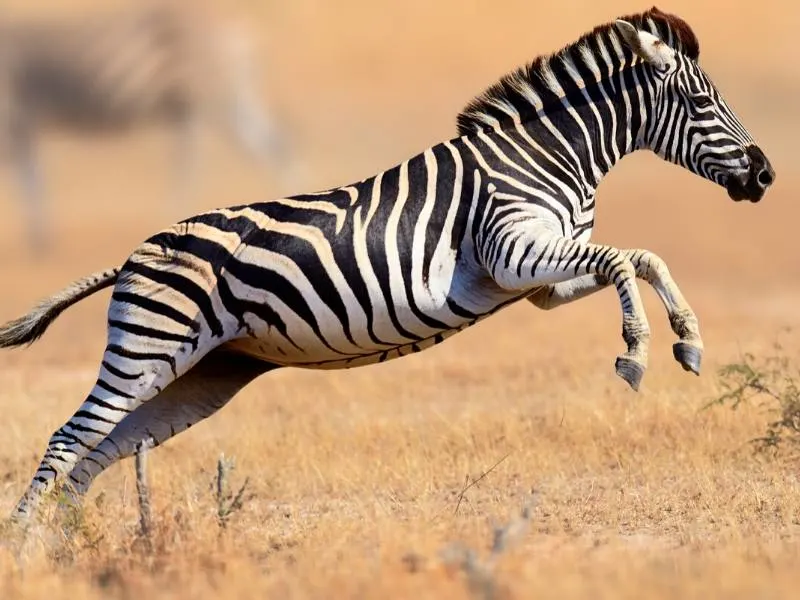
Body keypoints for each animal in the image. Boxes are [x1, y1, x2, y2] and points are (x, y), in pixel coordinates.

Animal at [0, 0, 296, 253]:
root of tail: (235, 29)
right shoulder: (21, 121)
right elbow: (33, 179)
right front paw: (41, 240)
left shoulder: (14, 118)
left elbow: (29, 181)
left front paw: (38, 241)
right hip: (199, 105)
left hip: (219, 98)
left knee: (273, 149)